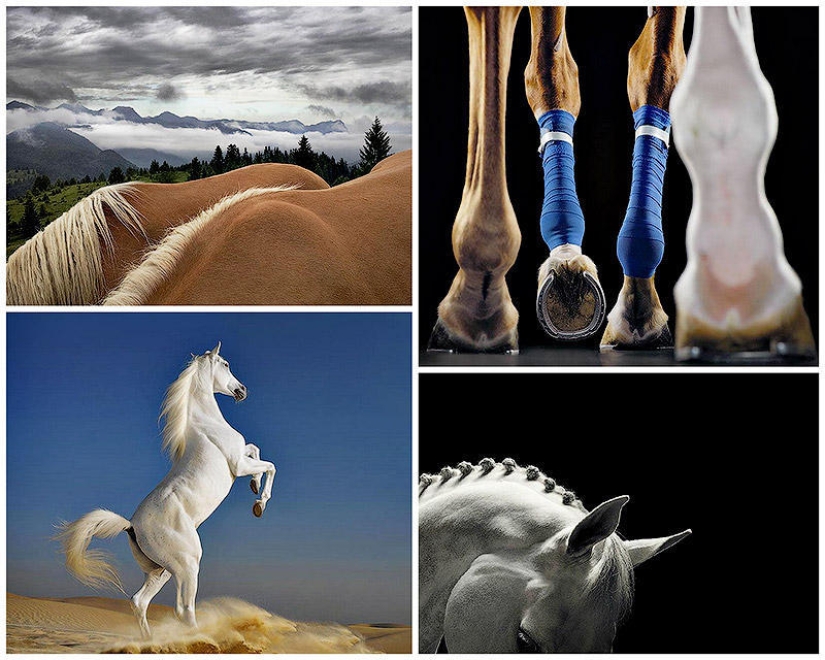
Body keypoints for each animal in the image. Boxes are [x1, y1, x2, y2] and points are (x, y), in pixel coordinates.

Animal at [57, 343, 276, 638]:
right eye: (226, 364)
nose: (242, 390)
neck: (206, 425)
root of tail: (131, 525)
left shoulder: (242, 457)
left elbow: (255, 449)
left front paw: (254, 486)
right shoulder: (237, 465)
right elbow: (269, 465)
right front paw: (259, 503)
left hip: (161, 571)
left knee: (139, 602)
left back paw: (151, 641)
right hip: (187, 565)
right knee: (183, 609)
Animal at [669, 7, 816, 360]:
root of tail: (735, 324)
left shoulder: (756, 97)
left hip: (790, 292)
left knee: (795, 330)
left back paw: (792, 348)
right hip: (688, 299)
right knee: (691, 335)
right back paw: (691, 352)